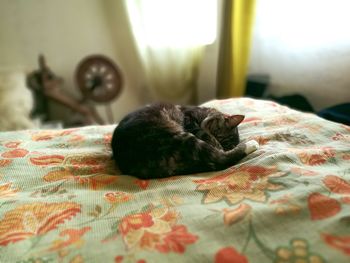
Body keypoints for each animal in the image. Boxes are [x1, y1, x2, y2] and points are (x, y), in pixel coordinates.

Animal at [110, 102, 258, 179]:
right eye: (219, 136)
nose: (221, 147)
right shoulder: (191, 121)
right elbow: (206, 135)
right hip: (183, 138)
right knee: (220, 159)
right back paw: (251, 144)